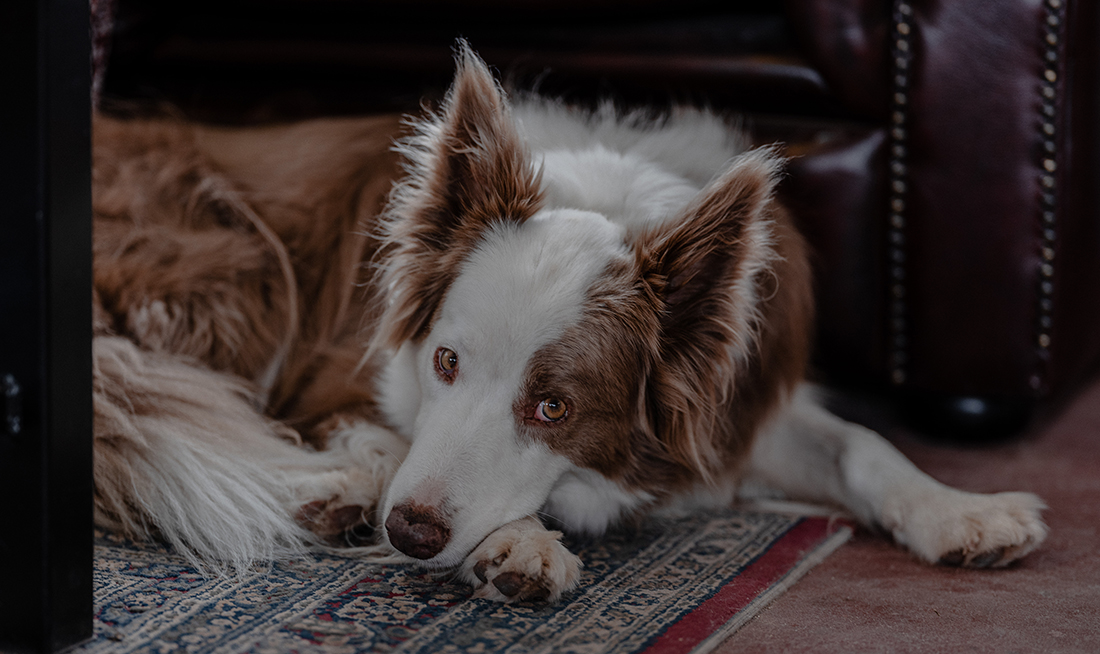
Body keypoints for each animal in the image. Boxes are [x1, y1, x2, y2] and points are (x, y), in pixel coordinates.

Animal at [90, 42, 1042, 602]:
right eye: (444, 362)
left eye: (554, 407)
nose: (407, 535)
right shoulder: (341, 378)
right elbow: (404, 451)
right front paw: (518, 544)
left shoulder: (731, 411)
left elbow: (863, 446)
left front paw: (962, 512)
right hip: (234, 270)